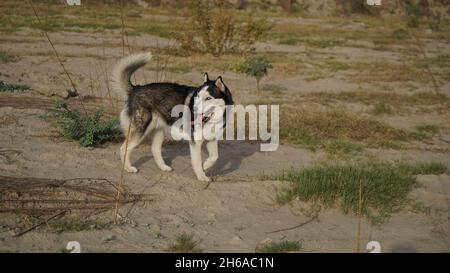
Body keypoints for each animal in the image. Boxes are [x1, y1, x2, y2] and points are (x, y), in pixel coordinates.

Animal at [110, 52, 234, 182]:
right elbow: (197, 161)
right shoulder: (195, 142)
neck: (212, 120)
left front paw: (205, 165)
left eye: (208, 98)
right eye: (197, 97)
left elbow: (215, 157)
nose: (192, 109)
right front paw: (201, 176)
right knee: (124, 148)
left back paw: (164, 167)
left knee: (155, 149)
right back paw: (128, 168)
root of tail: (136, 88)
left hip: (159, 131)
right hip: (140, 131)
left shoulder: (212, 139)